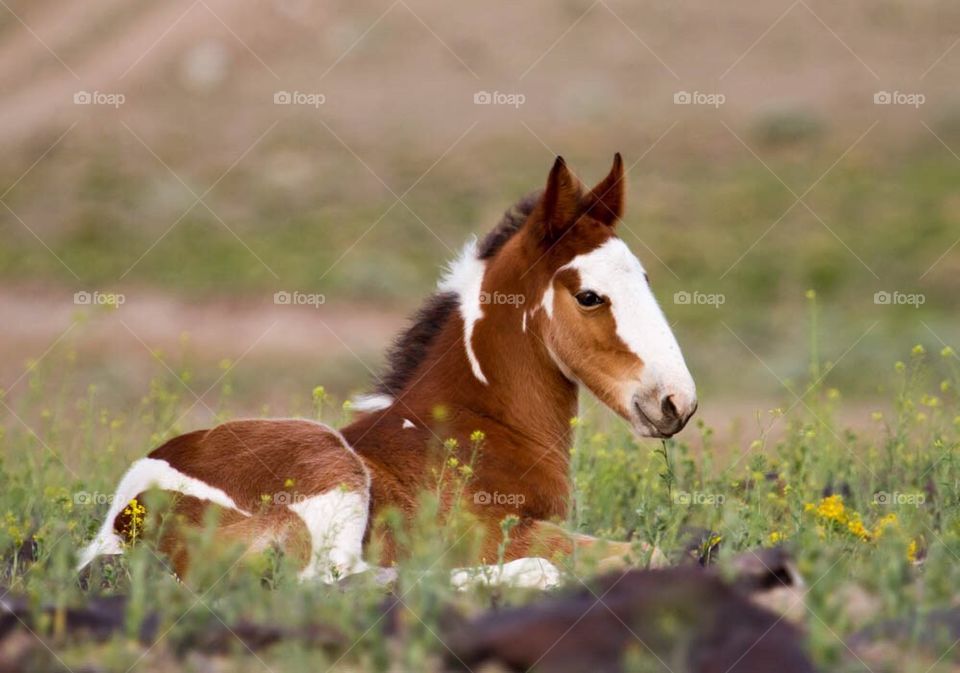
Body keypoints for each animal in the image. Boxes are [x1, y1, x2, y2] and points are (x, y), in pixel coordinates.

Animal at [77, 154, 697, 586]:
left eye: (644, 278)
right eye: (590, 296)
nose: (676, 403)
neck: (472, 431)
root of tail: (124, 528)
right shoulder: (503, 532)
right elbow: (642, 551)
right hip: (327, 468)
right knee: (334, 583)